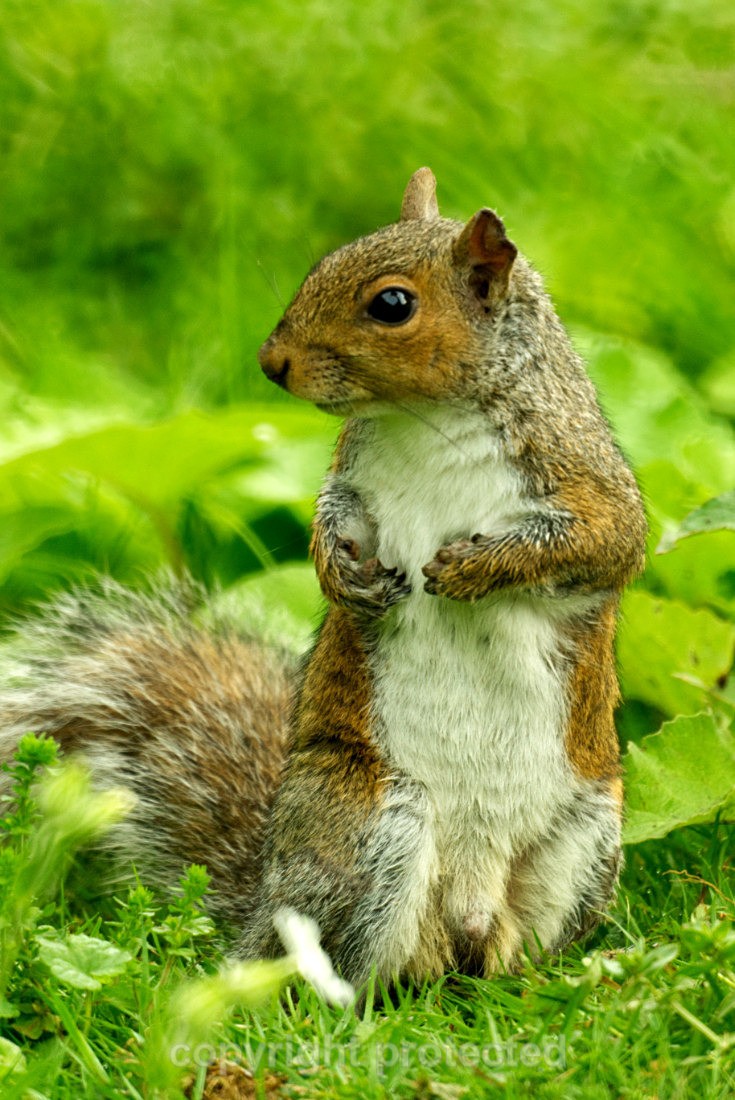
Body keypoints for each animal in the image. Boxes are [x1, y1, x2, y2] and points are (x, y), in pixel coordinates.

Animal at [0, 168, 647, 988]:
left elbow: (606, 542)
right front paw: (342, 574)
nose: (270, 362)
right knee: (343, 968)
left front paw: (477, 566)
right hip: (369, 822)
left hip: (583, 839)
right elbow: (331, 515)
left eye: (392, 304)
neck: (427, 419)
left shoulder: (583, 477)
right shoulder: (352, 476)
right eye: (319, 266)